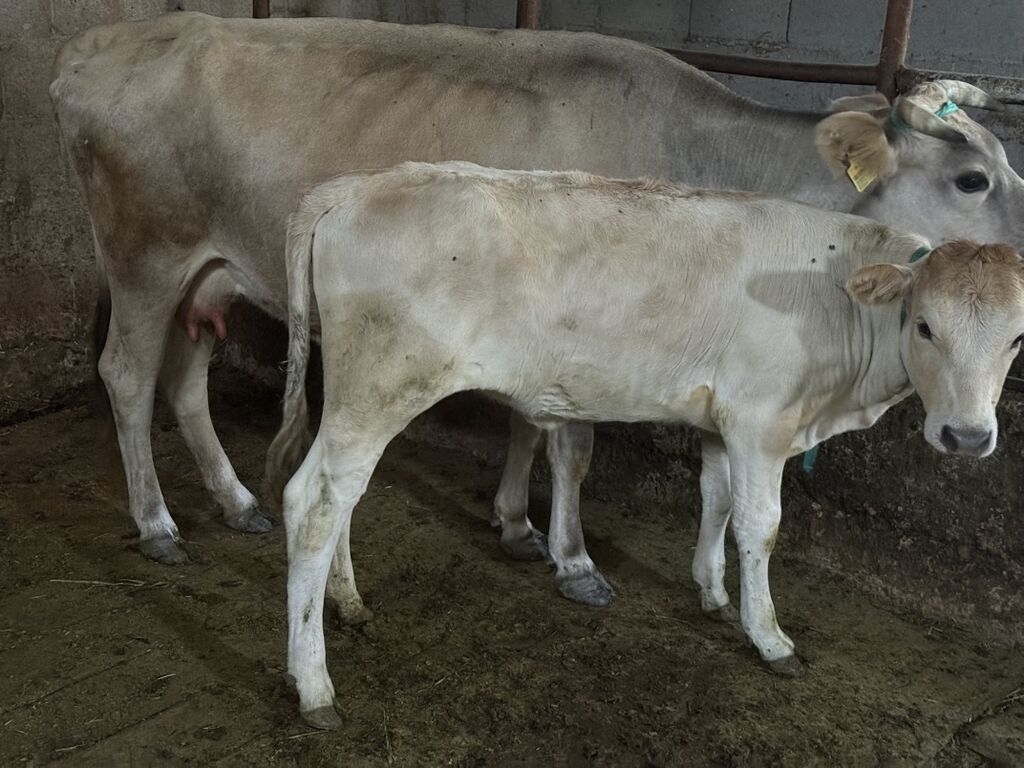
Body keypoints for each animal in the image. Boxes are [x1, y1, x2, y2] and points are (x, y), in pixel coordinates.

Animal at [50, 13, 1022, 607]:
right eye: (973, 178)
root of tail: (100, 39)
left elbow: (527, 422)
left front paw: (516, 522)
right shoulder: (586, 325)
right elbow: (574, 445)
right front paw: (576, 559)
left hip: (204, 275)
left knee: (184, 382)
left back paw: (234, 497)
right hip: (142, 257)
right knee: (127, 377)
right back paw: (158, 522)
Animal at [268, 161, 1024, 727]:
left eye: (1017, 336)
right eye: (924, 325)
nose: (967, 436)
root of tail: (356, 186)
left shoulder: (720, 423)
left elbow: (715, 502)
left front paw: (711, 592)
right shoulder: (762, 420)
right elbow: (761, 526)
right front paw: (769, 635)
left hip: (357, 393)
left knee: (344, 497)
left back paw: (349, 606)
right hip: (381, 385)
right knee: (313, 502)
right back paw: (314, 685)